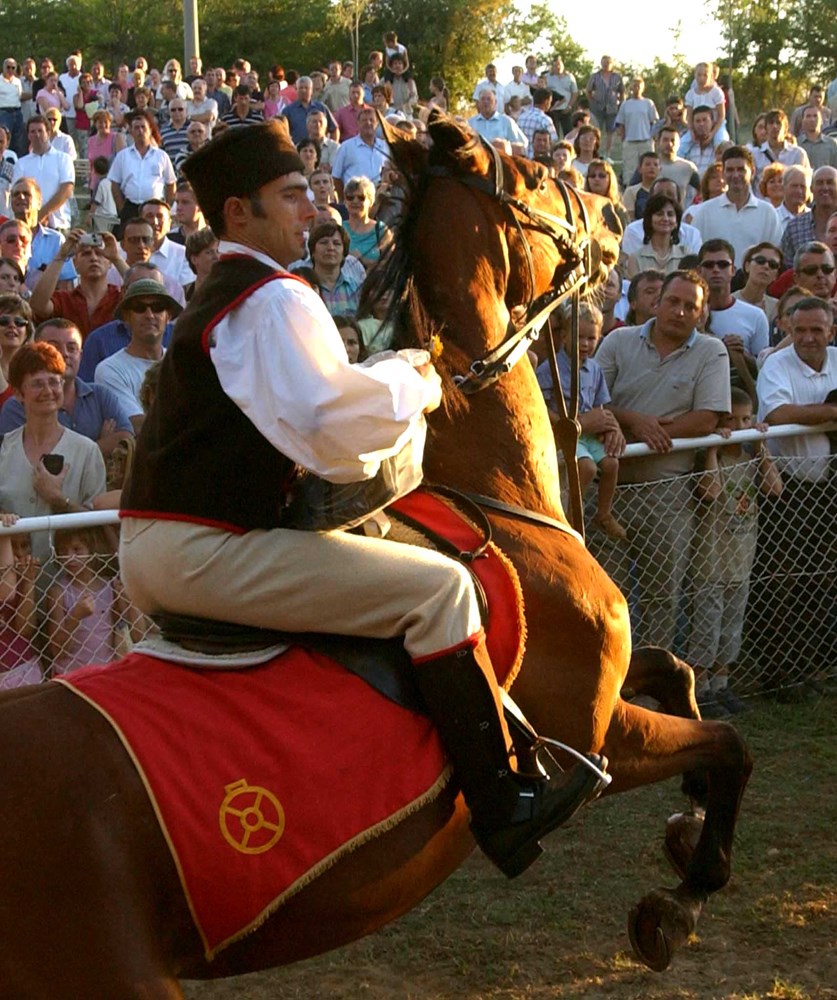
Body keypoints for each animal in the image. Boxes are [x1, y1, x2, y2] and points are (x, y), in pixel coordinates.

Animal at [0, 115, 752, 992]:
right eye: (535, 175)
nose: (610, 216)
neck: (497, 492)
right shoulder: (601, 735)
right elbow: (726, 745)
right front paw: (682, 895)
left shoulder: (617, 695)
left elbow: (679, 674)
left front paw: (684, 820)